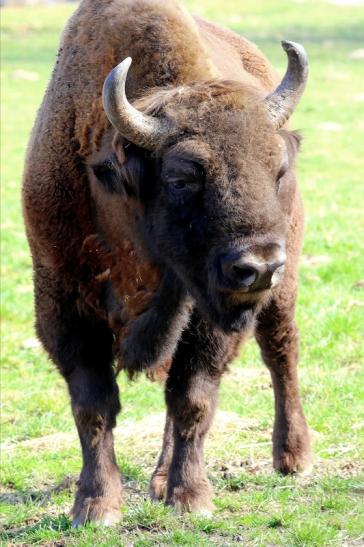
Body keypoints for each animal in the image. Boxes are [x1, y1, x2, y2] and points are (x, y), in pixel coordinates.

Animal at [22, 0, 312, 528]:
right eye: (181, 177)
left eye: (278, 169)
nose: (259, 266)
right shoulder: (63, 306)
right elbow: (93, 405)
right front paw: (96, 507)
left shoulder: (209, 317)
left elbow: (192, 399)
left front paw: (191, 498)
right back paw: (158, 479)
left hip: (284, 289)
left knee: (281, 352)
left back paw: (292, 458)